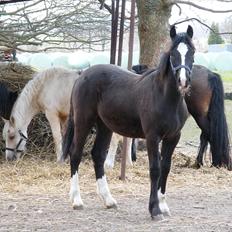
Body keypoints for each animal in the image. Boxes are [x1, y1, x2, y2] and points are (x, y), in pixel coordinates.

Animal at [61, 26, 194, 220]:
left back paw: (108, 200)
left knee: (97, 155)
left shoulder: (173, 137)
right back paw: (77, 200)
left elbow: (166, 167)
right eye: (173, 54)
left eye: (192, 52)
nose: (183, 81)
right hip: (83, 122)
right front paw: (155, 210)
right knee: (75, 154)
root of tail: (82, 75)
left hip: (104, 126)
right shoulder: (152, 137)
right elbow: (155, 169)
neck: (165, 97)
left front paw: (163, 206)